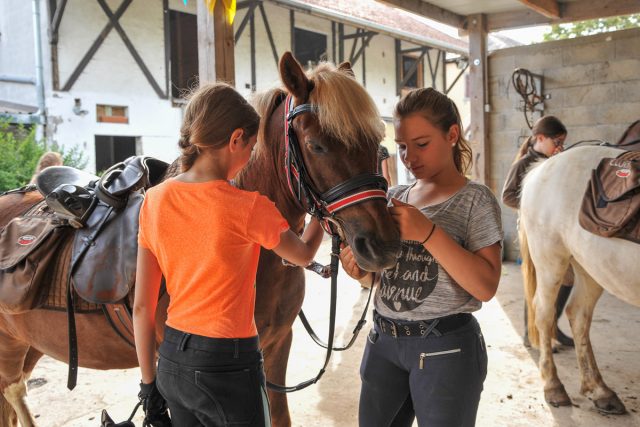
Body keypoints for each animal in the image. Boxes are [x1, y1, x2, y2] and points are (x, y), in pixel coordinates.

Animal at [520, 145, 640, 414]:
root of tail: (539, 169)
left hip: (591, 266)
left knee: (578, 314)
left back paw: (600, 390)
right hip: (550, 258)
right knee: (544, 313)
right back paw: (554, 387)